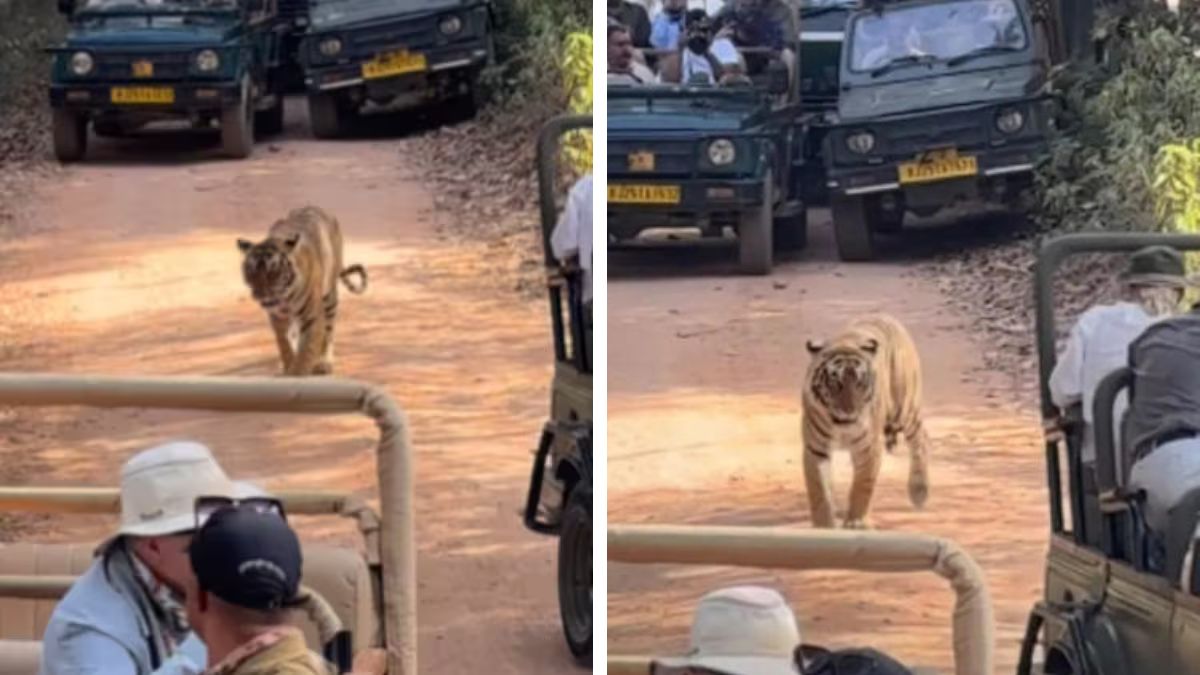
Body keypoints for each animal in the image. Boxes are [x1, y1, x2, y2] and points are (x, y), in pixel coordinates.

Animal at [237, 205, 367, 377]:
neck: (285, 297)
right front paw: (288, 365)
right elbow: (284, 344)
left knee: (328, 332)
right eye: (250, 271)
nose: (260, 295)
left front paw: (297, 372)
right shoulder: (277, 318)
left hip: (329, 298)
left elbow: (306, 351)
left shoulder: (312, 317)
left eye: (273, 272)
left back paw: (324, 363)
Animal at [801, 313, 931, 530]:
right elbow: (819, 491)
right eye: (834, 383)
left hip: (904, 407)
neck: (841, 424)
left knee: (921, 438)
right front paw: (824, 525)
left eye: (859, 382)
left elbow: (862, 485)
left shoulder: (868, 448)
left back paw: (919, 491)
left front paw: (856, 522)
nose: (849, 410)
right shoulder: (815, 448)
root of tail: (885, 315)